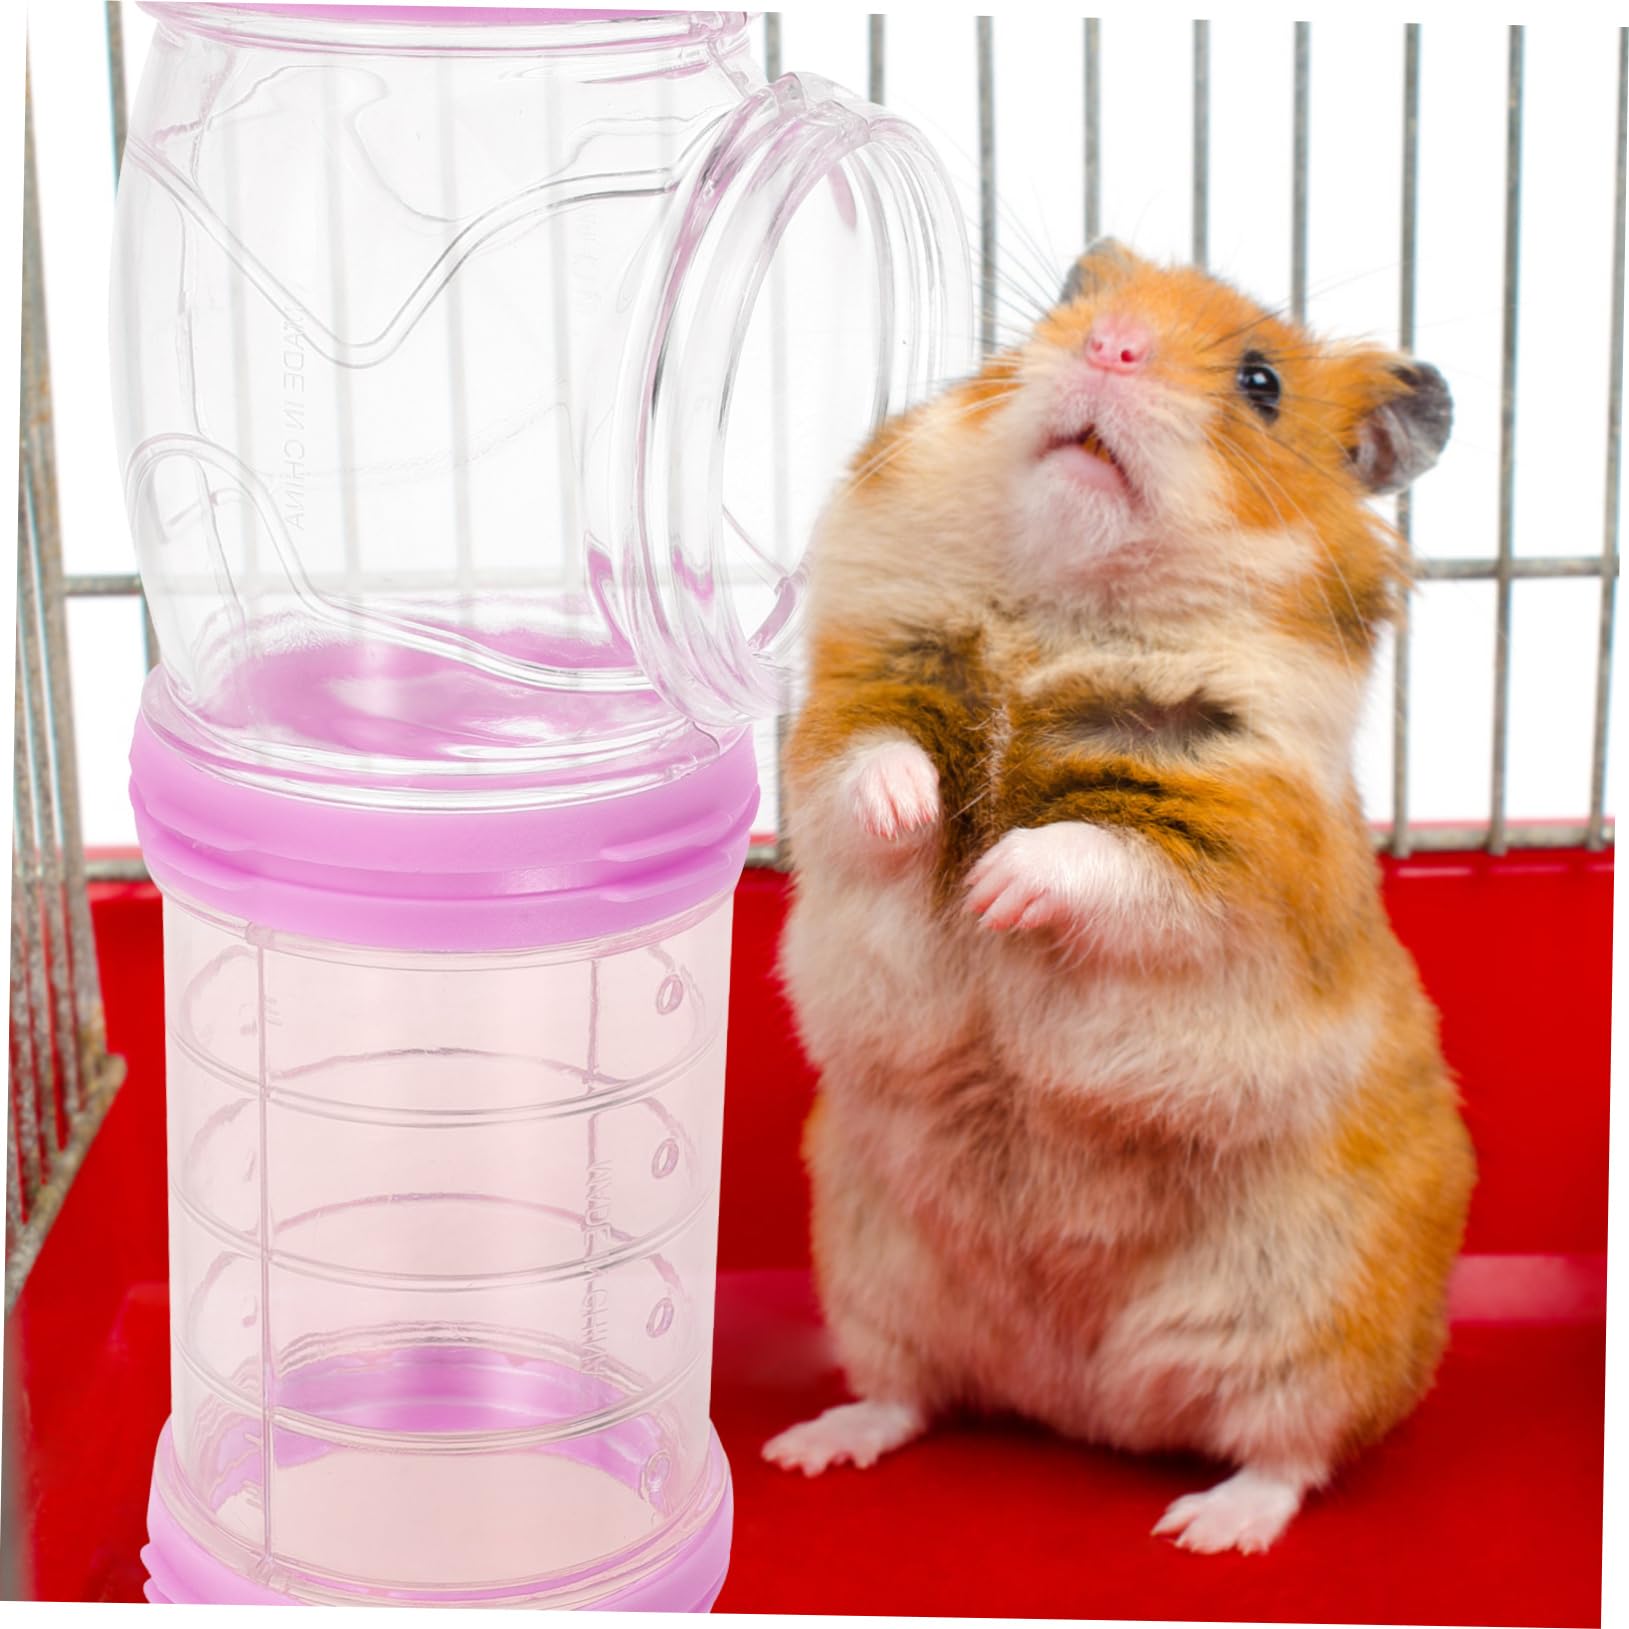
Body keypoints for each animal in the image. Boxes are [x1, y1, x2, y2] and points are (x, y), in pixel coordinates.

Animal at [762, 239, 1475, 1557]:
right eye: (1072, 305)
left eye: (1260, 383)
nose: (1112, 347)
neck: (1064, 609)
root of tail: (1080, 1401)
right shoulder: (853, 698)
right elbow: (869, 767)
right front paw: (922, 822)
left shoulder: (1238, 833)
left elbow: (1099, 853)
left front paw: (994, 888)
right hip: (872, 1275)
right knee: (907, 1394)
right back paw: (813, 1448)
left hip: (1319, 1326)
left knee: (1290, 1452)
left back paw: (1207, 1528)